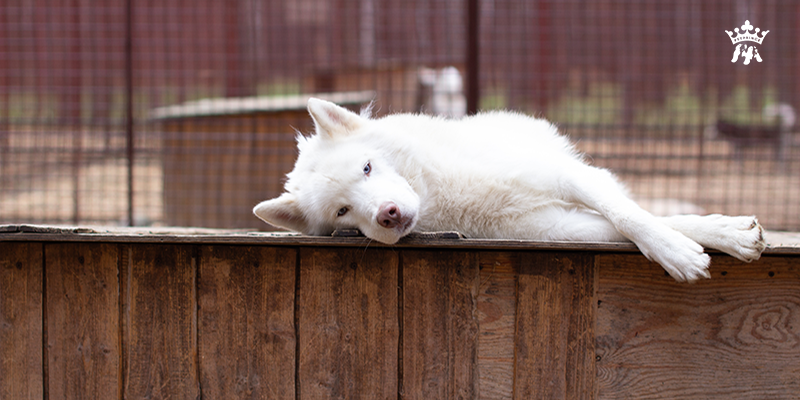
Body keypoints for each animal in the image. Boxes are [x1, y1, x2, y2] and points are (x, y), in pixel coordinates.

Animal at [256, 98, 768, 282]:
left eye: (366, 167)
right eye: (343, 212)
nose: (388, 215)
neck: (449, 193)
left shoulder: (564, 177)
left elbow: (632, 216)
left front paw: (696, 246)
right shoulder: (556, 229)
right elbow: (628, 226)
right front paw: (698, 243)